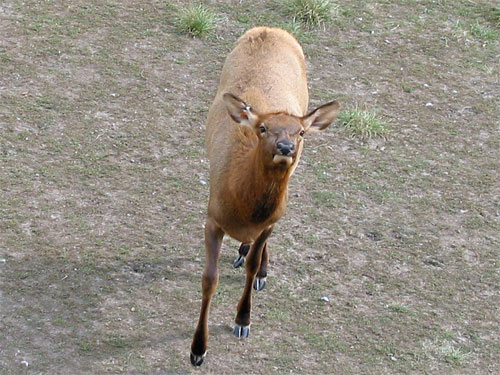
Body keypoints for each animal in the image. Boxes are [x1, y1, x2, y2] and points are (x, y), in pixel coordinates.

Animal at [189, 26, 342, 368]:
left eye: (300, 132)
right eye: (262, 128)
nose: (286, 147)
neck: (244, 209)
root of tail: (270, 29)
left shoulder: (270, 222)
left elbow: (252, 264)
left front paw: (243, 321)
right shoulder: (212, 218)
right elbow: (209, 279)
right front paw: (197, 350)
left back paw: (259, 266)